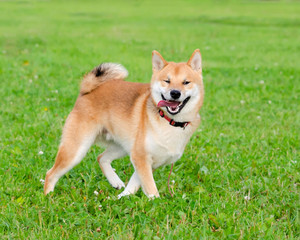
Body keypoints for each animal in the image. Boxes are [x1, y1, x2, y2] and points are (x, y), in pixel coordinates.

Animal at [44, 49, 204, 198]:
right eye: (167, 81)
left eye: (186, 82)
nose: (175, 93)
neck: (169, 121)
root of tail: (87, 91)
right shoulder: (141, 157)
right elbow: (151, 189)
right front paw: (157, 202)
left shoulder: (146, 161)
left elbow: (133, 185)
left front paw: (120, 199)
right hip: (77, 149)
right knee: (50, 174)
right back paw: (48, 197)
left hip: (122, 145)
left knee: (101, 158)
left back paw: (115, 181)